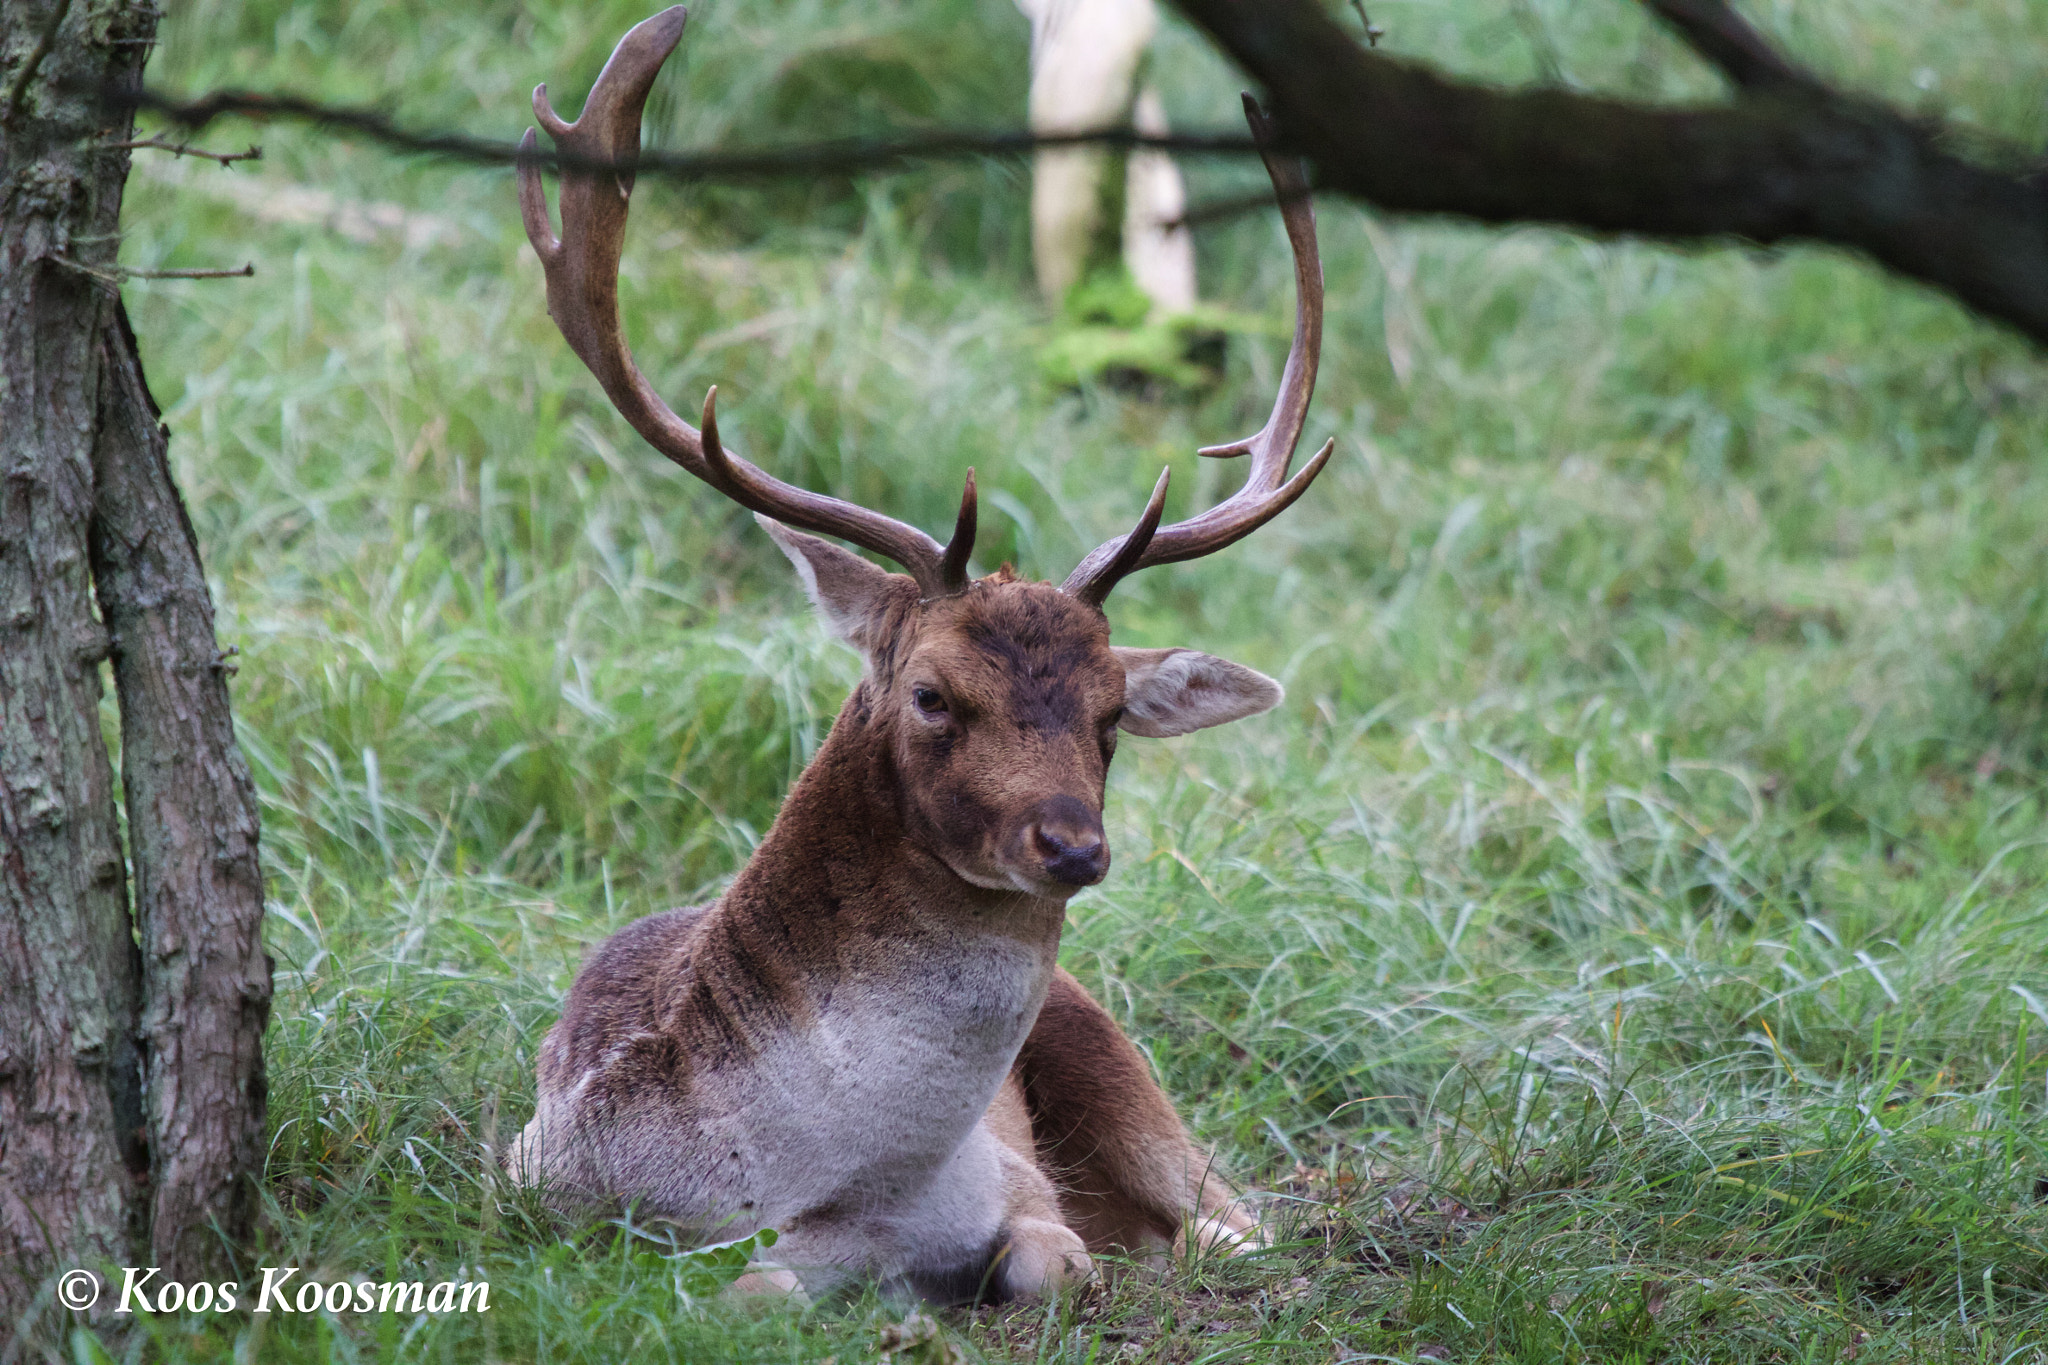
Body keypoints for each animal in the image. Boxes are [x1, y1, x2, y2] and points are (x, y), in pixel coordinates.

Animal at [504, 7, 1331, 1304]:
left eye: (1110, 713)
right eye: (933, 694)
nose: (1070, 844)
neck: (816, 1177)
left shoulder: (1021, 1186)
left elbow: (1046, 1262)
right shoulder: (543, 1193)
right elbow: (753, 1283)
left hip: (1119, 1061)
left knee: (1238, 1223)